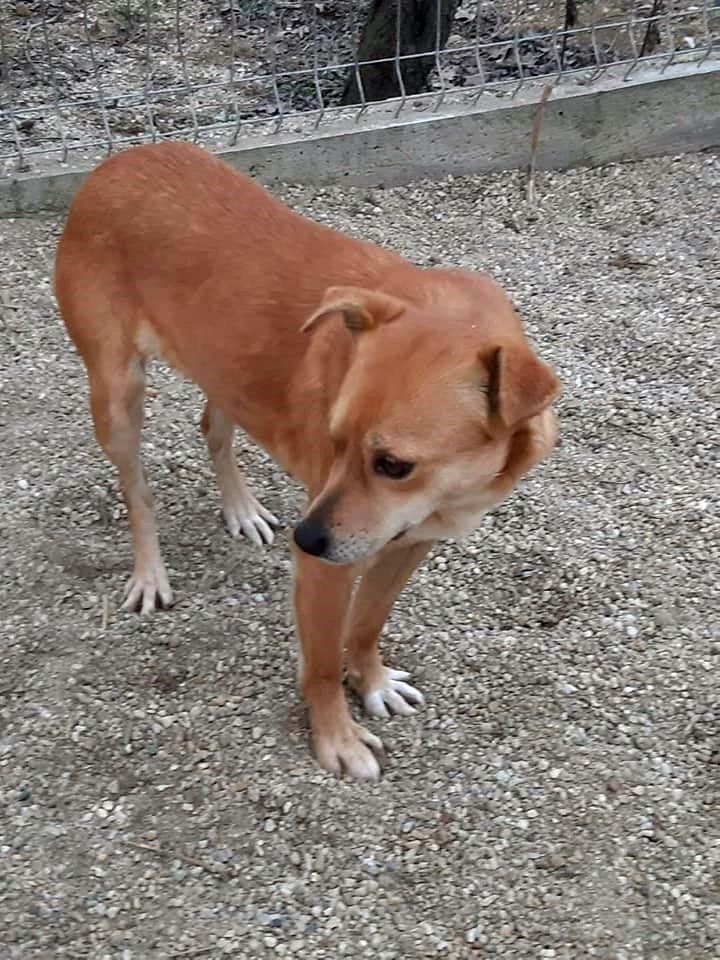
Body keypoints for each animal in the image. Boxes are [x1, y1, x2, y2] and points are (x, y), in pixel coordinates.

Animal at [54, 141, 560, 779]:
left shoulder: (409, 543)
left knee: (213, 428)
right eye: (335, 439)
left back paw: (242, 509)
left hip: (225, 367)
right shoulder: (327, 569)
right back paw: (150, 573)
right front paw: (337, 737)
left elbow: (367, 624)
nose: (306, 537)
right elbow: (319, 662)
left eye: (394, 465)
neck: (455, 490)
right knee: (137, 491)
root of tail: (117, 161)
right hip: (118, 394)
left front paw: (370, 682)